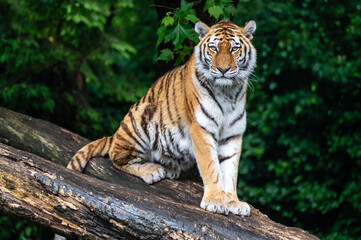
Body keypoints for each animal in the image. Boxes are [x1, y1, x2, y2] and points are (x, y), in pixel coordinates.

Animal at [67, 20, 256, 216]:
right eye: (213, 48)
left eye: (234, 49)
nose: (223, 70)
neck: (228, 92)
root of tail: (116, 134)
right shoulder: (201, 128)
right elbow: (210, 166)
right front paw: (216, 201)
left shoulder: (233, 134)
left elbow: (230, 171)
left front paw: (233, 202)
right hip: (142, 116)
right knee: (117, 158)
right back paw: (152, 170)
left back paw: (171, 169)